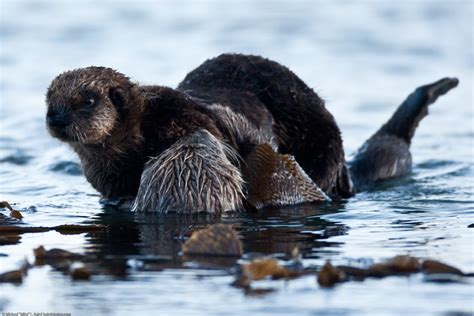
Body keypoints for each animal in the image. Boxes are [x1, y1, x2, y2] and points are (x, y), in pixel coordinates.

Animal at [45, 53, 460, 214]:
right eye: (50, 99)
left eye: (87, 100)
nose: (56, 118)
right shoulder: (106, 176)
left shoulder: (184, 110)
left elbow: (211, 128)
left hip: (320, 134)